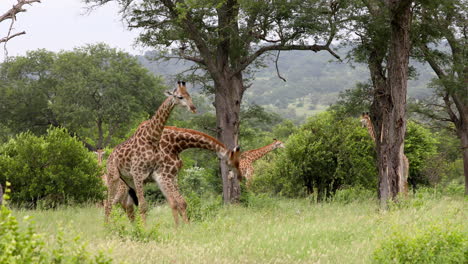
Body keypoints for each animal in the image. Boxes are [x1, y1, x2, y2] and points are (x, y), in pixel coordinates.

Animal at [103, 81, 196, 223]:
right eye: (180, 97)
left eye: (189, 95)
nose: (193, 107)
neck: (152, 138)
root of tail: (109, 157)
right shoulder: (137, 173)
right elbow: (143, 206)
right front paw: (144, 228)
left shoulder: (149, 175)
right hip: (113, 176)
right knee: (108, 204)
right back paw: (107, 226)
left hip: (127, 180)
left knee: (121, 205)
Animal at [106, 125, 241, 226]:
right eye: (234, 162)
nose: (238, 176)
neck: (176, 144)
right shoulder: (164, 176)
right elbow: (176, 202)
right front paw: (181, 228)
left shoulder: (172, 176)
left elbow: (179, 202)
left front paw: (185, 227)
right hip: (118, 181)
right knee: (110, 203)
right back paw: (109, 227)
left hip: (130, 186)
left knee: (127, 207)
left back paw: (133, 227)